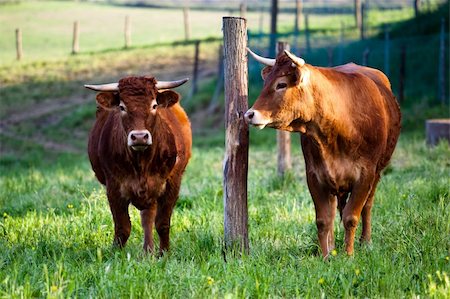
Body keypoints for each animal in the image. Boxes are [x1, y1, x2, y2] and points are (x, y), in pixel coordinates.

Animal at [85, 76, 191, 254]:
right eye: (122, 107)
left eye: (154, 105)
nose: (140, 137)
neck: (141, 163)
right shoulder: (114, 187)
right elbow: (123, 227)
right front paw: (116, 254)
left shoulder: (172, 184)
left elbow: (162, 224)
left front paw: (164, 254)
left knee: (148, 217)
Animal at [246, 48, 400, 258]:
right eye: (266, 82)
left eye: (281, 84)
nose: (249, 114)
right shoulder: (315, 175)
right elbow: (323, 220)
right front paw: (326, 256)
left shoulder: (365, 174)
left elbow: (352, 216)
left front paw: (349, 255)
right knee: (337, 209)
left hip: (377, 172)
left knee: (367, 206)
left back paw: (365, 241)